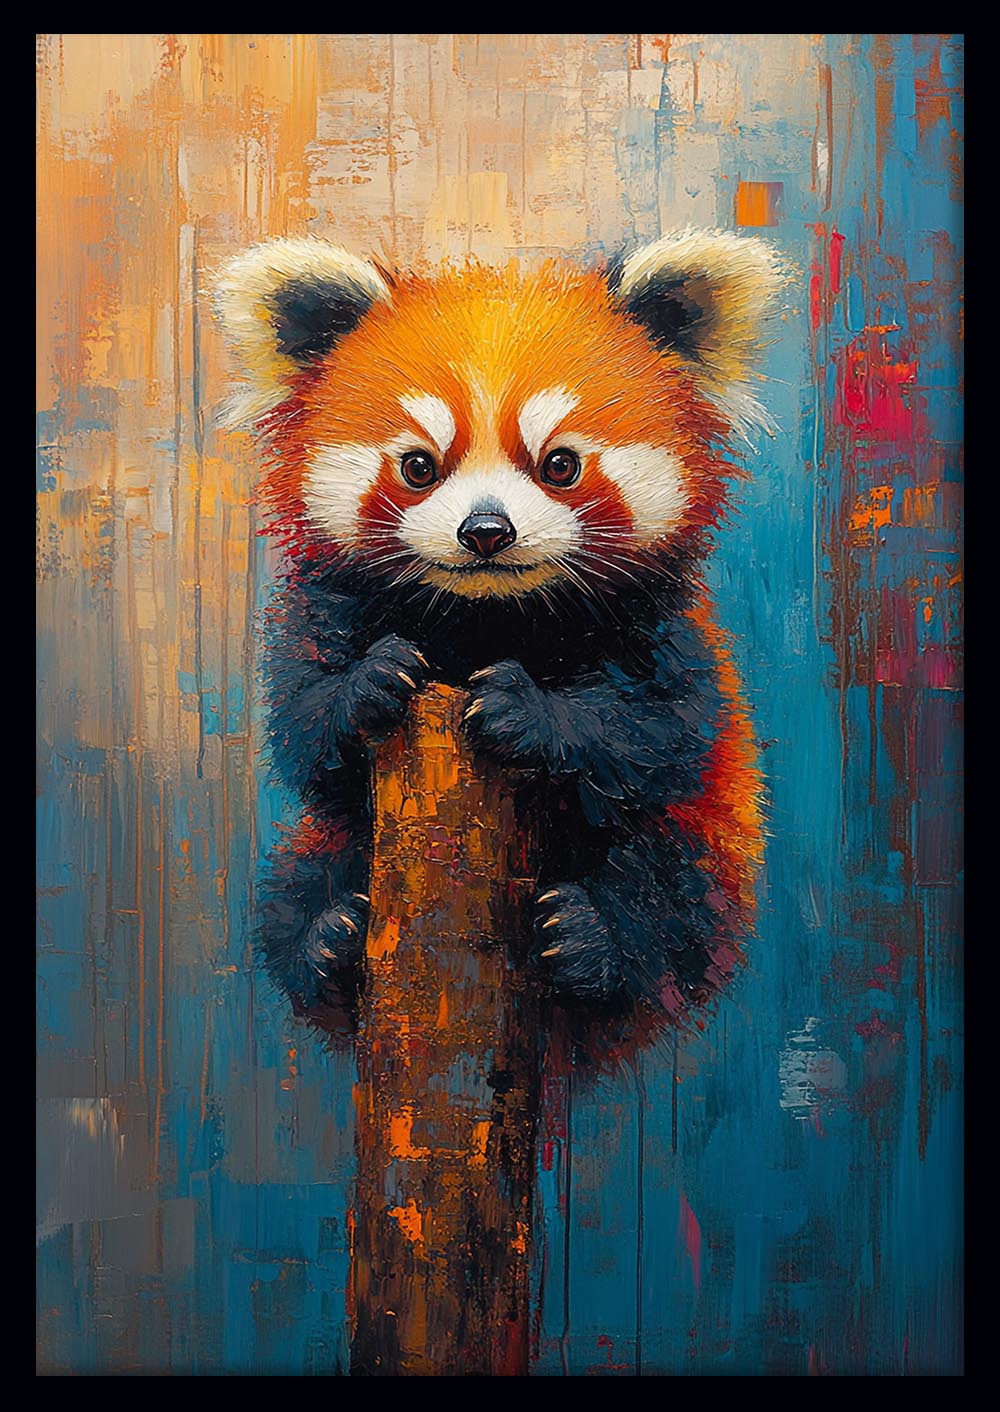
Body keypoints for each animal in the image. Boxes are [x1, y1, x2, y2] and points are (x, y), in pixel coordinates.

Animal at [215, 231, 781, 1053]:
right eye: (419, 466)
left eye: (560, 465)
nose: (486, 531)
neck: (487, 615)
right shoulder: (323, 610)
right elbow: (304, 730)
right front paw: (370, 684)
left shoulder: (670, 634)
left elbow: (654, 734)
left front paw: (528, 713)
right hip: (320, 848)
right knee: (292, 892)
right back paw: (328, 938)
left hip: (717, 842)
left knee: (671, 899)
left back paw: (593, 941)